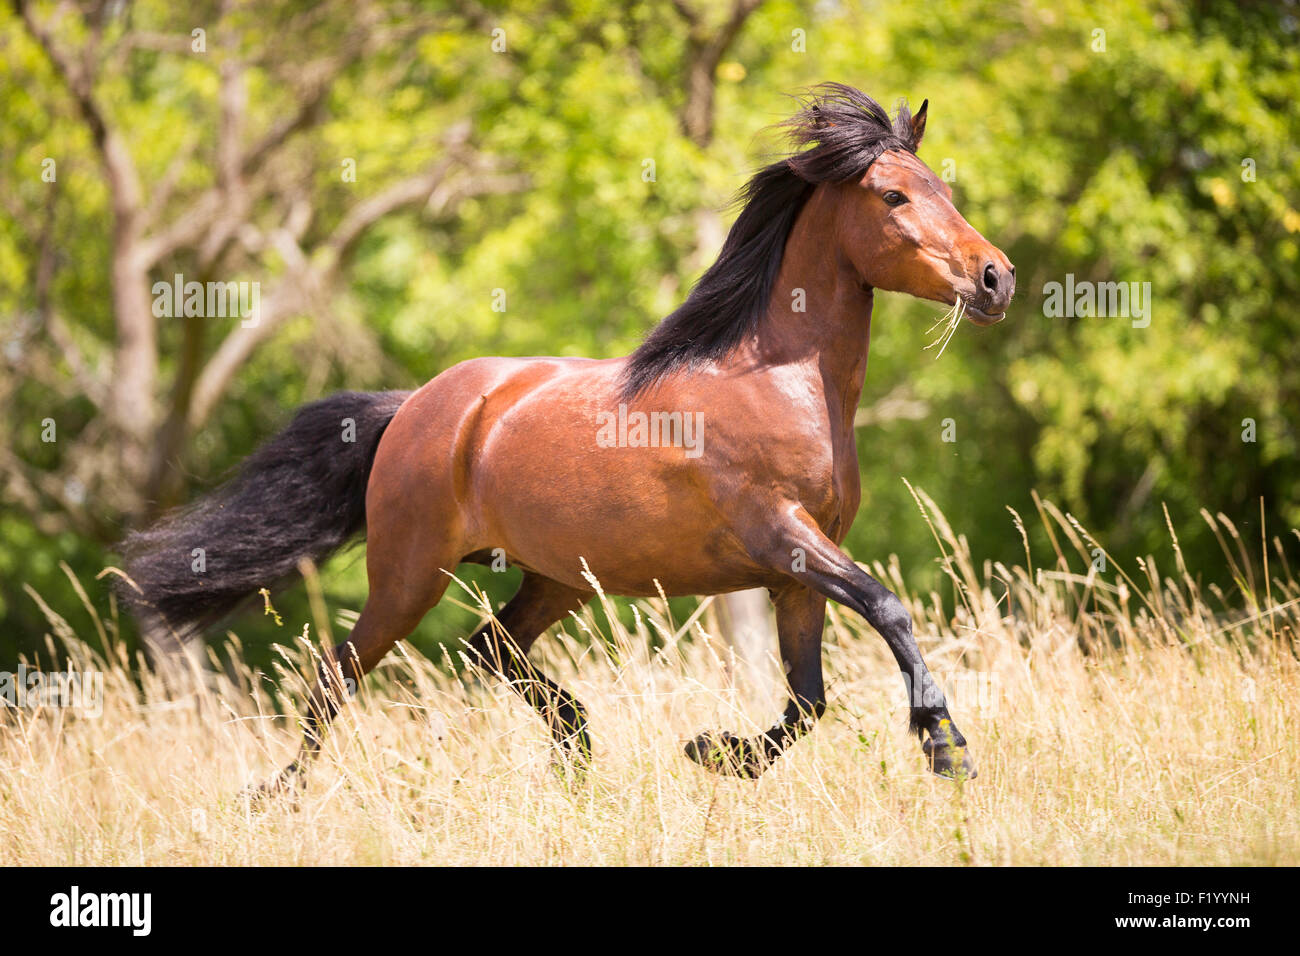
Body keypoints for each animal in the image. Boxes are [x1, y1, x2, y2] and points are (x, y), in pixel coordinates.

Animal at [119, 82, 1013, 790]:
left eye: (943, 186)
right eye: (895, 197)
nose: (996, 277)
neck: (780, 381)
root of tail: (415, 409)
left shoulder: (797, 574)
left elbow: (807, 700)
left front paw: (716, 753)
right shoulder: (783, 539)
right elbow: (888, 611)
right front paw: (945, 745)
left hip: (558, 577)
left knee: (487, 648)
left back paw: (578, 746)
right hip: (409, 577)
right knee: (337, 675)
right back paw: (280, 792)